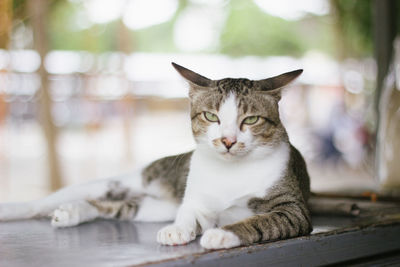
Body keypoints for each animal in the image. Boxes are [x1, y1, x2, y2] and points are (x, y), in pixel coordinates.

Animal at [0, 63, 310, 251]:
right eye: (211, 116)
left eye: (251, 120)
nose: (228, 141)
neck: (230, 170)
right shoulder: (195, 200)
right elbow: (188, 213)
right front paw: (178, 230)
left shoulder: (293, 210)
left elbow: (259, 221)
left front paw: (222, 233)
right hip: (130, 180)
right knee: (50, 202)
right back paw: (30, 209)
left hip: (156, 208)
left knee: (121, 207)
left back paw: (74, 211)